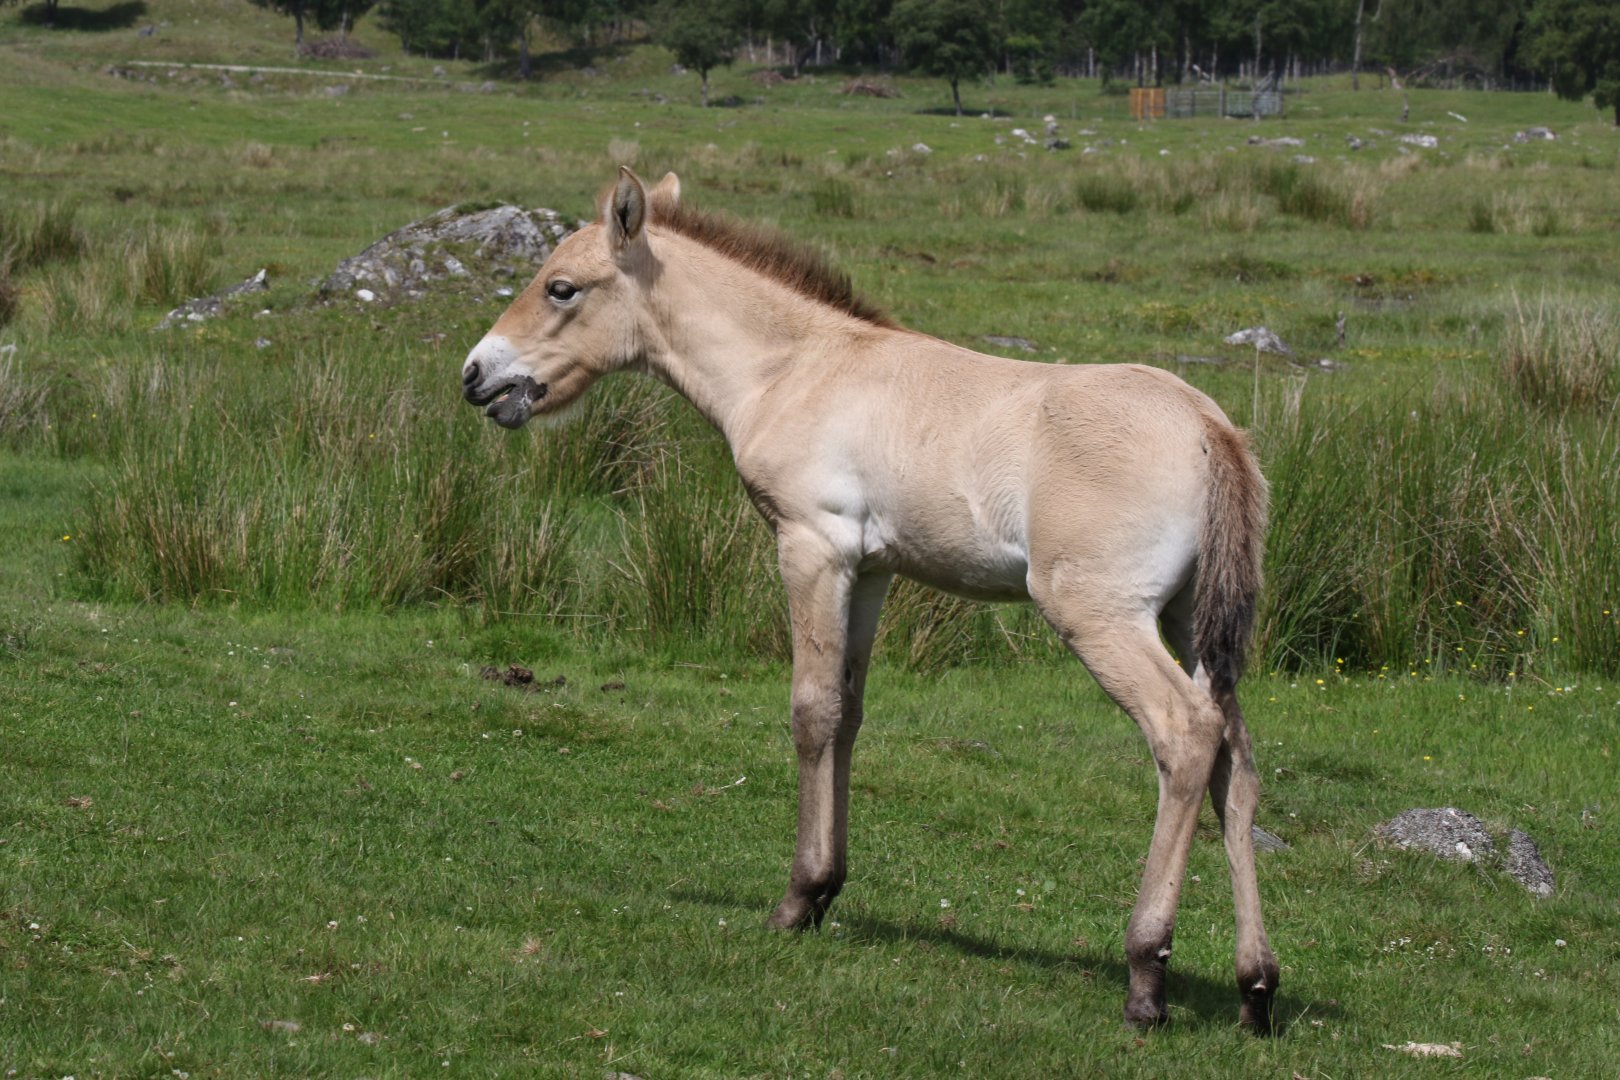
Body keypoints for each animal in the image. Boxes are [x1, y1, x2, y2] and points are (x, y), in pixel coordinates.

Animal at [461, 168, 1278, 1030]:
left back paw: (1146, 974)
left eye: (561, 287)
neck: (795, 369)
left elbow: (812, 710)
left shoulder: (811, 548)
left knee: (1184, 734)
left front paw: (799, 898)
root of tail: (1211, 427)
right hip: (1191, 621)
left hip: (1100, 615)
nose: (476, 375)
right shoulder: (873, 570)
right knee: (1235, 757)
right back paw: (1255, 985)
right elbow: (849, 710)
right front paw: (828, 890)